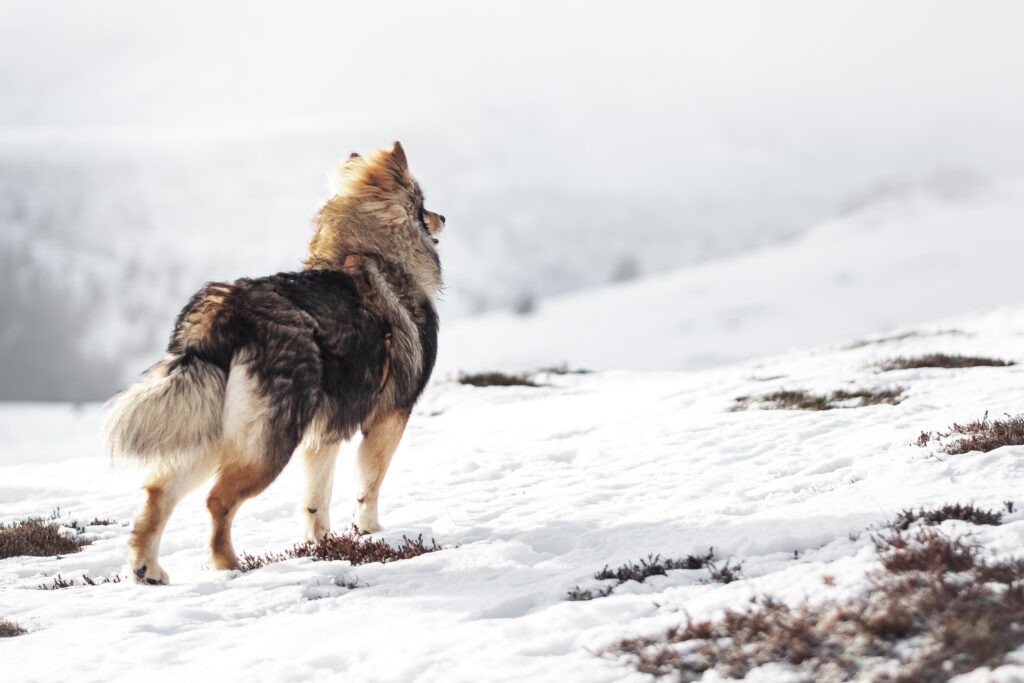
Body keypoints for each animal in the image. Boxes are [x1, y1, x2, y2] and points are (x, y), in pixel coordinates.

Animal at [103, 141, 444, 585]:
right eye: (422, 204)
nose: (443, 218)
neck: (374, 255)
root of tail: (227, 312)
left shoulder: (324, 434)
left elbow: (316, 498)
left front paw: (323, 545)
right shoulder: (391, 416)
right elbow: (369, 483)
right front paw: (371, 532)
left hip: (213, 430)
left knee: (159, 493)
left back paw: (148, 569)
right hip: (270, 441)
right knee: (217, 500)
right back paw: (228, 563)